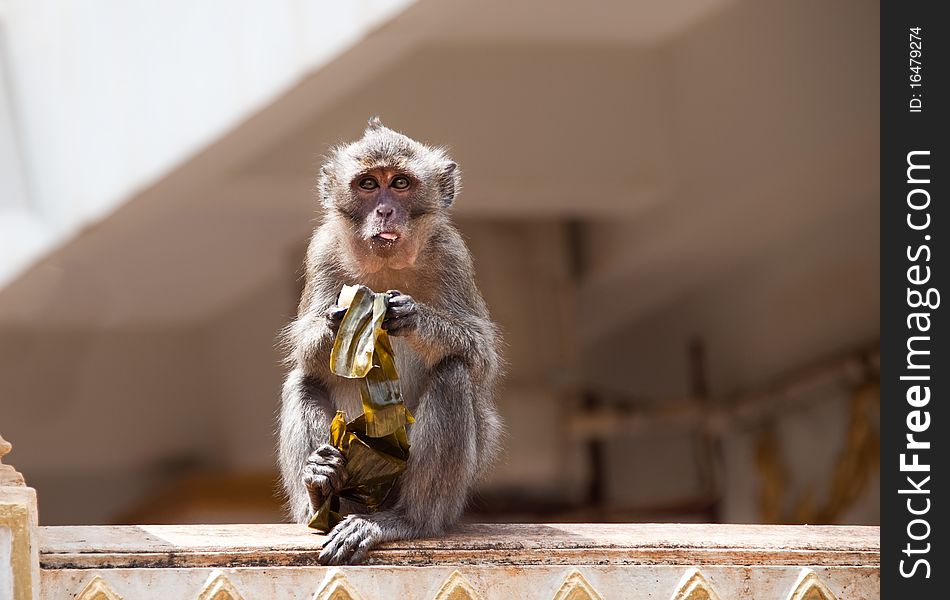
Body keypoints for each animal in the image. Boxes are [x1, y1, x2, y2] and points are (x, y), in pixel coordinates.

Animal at [278, 118, 506, 568]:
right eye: (368, 184)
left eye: (400, 183)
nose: (384, 210)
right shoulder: (322, 250)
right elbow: (303, 351)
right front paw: (338, 320)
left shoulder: (453, 256)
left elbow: (480, 357)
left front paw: (410, 316)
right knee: (303, 380)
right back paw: (321, 489)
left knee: (453, 373)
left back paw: (404, 520)